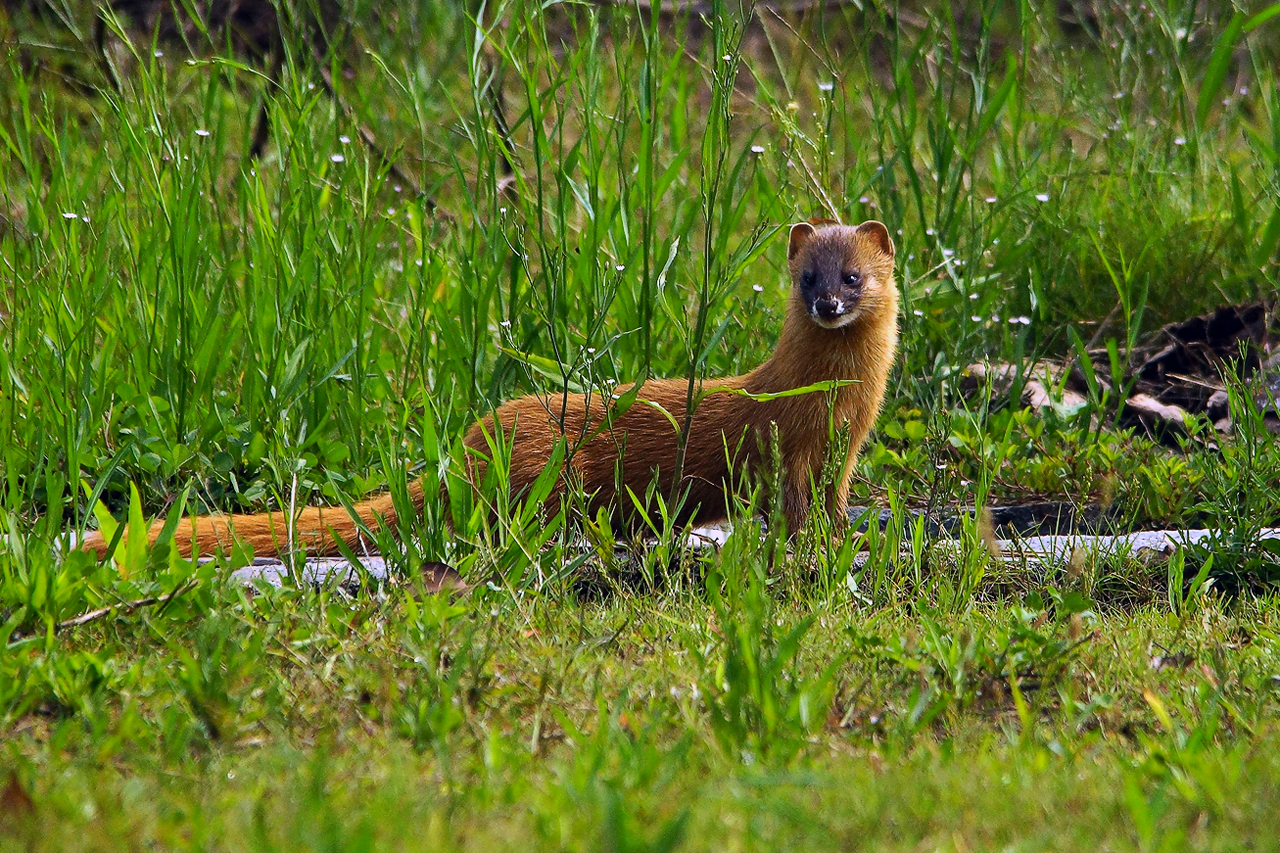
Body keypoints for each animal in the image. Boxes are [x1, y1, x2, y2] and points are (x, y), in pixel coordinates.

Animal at [82, 217, 901, 558]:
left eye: (852, 276)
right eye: (807, 278)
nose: (828, 305)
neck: (838, 400)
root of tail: (472, 443)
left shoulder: (843, 451)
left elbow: (830, 502)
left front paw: (845, 533)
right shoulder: (792, 446)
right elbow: (792, 504)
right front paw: (815, 545)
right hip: (548, 471)